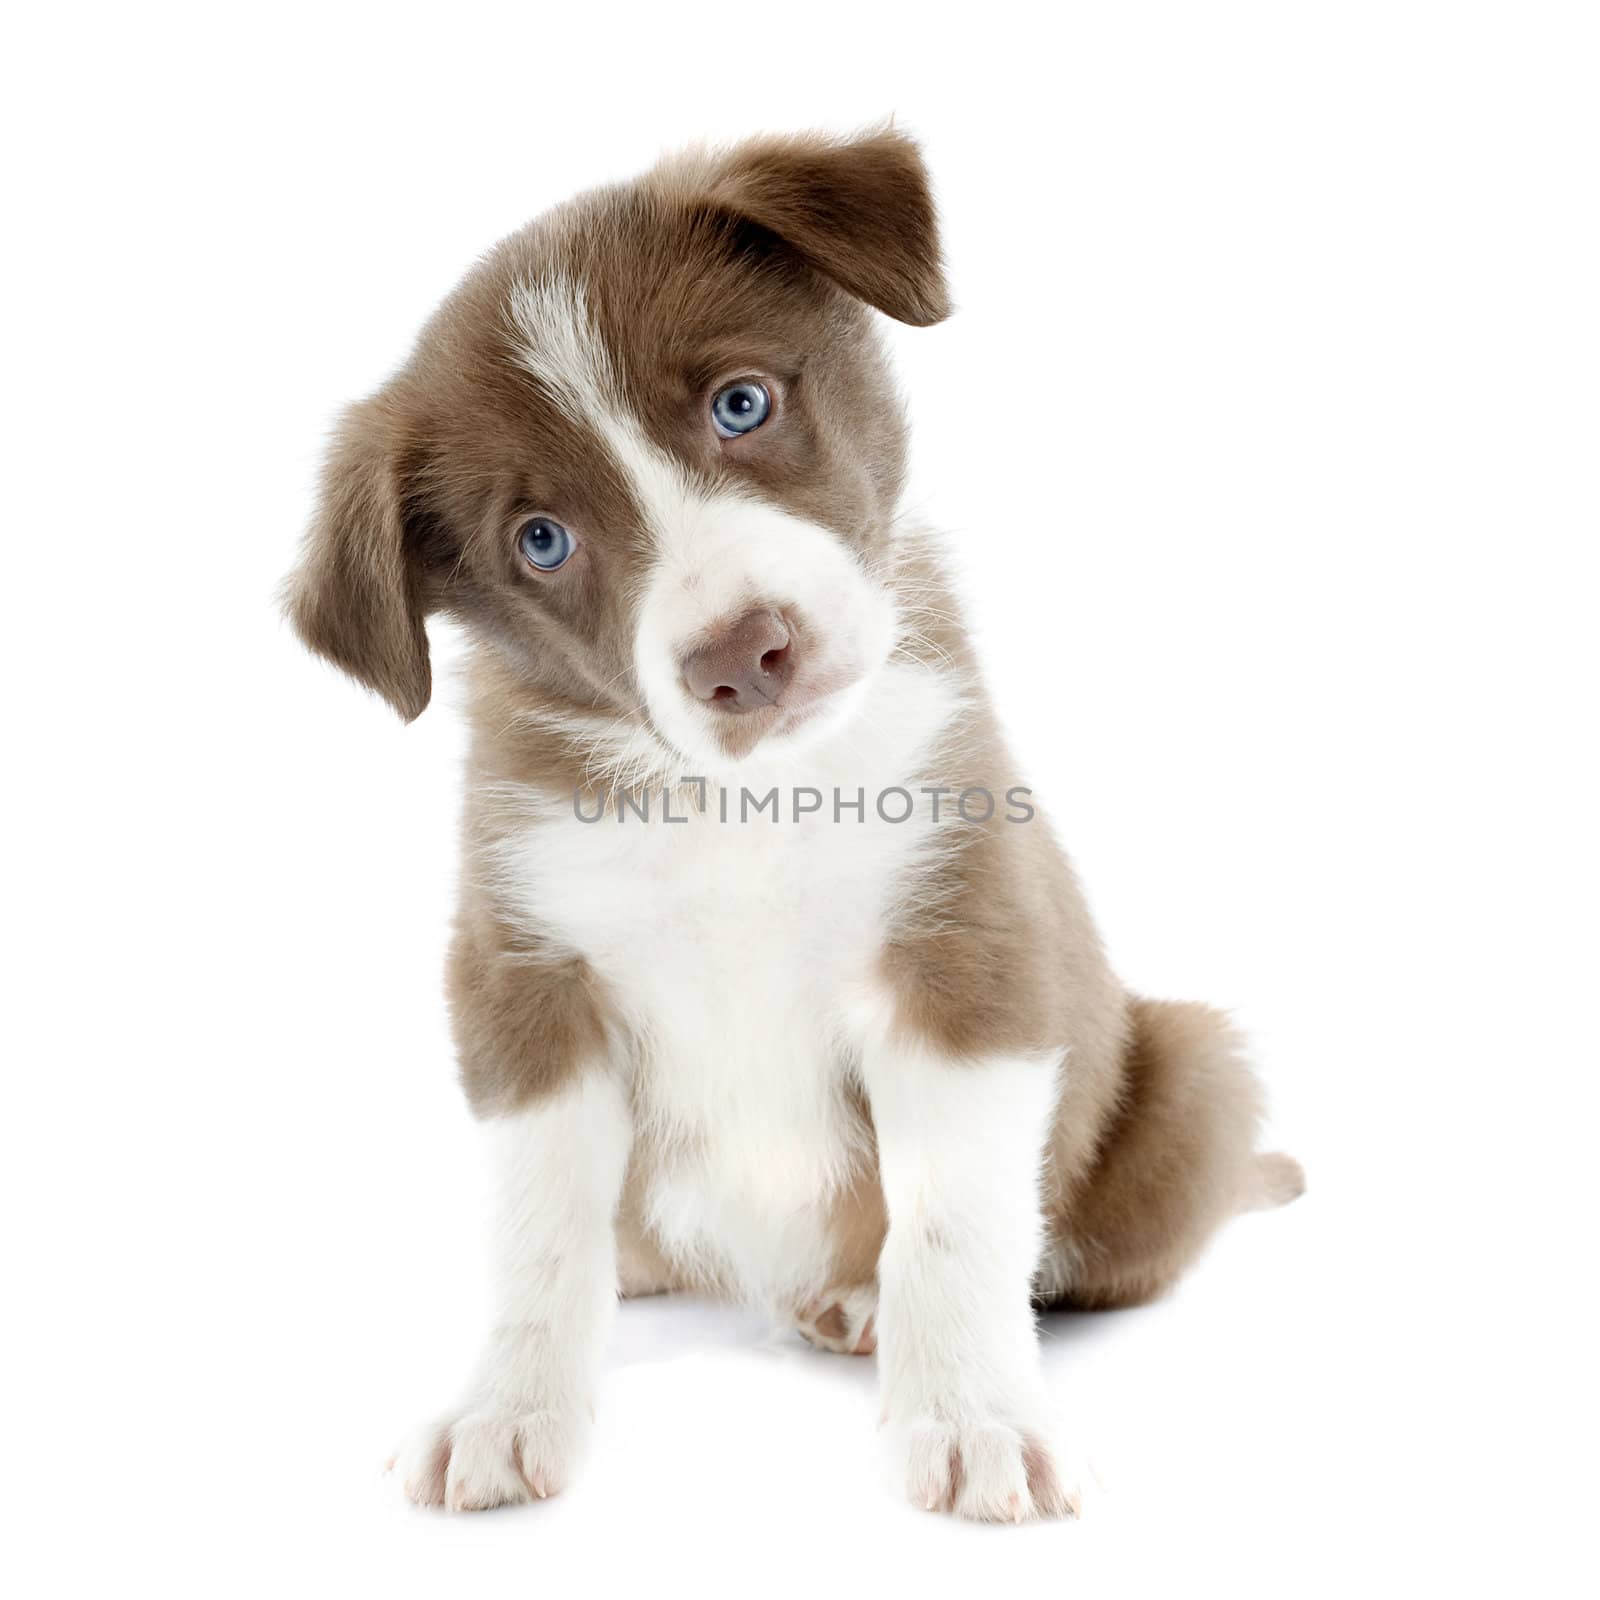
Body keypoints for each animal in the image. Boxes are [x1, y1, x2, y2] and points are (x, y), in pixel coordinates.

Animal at [284, 128, 1299, 1523]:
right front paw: (506, 1408)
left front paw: (975, 1417)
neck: (743, 804)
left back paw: (859, 1306)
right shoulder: (521, 975)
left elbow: (954, 1223)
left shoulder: (967, 947)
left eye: (741, 405)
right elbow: (535, 1228)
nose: (739, 653)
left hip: (1194, 1070)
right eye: (542, 540)